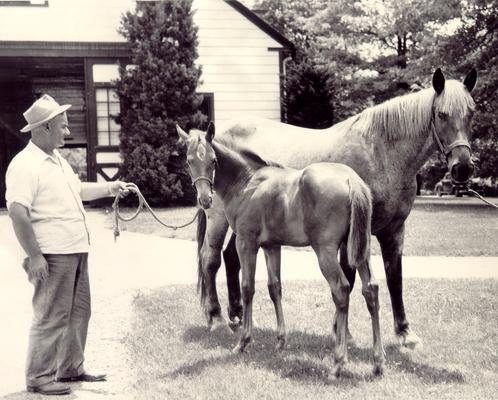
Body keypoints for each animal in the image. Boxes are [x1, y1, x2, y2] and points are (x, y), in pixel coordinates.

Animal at [179, 122, 386, 378]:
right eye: (188, 161)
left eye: (213, 160)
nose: (205, 200)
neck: (247, 181)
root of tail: (351, 180)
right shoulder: (272, 246)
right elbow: (274, 287)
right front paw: (280, 341)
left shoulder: (246, 243)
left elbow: (248, 288)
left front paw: (243, 342)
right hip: (361, 250)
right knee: (371, 290)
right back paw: (378, 362)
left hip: (325, 251)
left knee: (341, 290)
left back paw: (338, 362)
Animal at [190, 67, 474, 348]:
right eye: (441, 114)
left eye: (471, 112)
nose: (463, 167)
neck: (379, 153)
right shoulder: (351, 236)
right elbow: (349, 277)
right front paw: (343, 331)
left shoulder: (393, 230)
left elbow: (395, 278)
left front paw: (404, 332)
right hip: (218, 219)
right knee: (210, 258)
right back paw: (216, 318)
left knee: (230, 257)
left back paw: (238, 315)